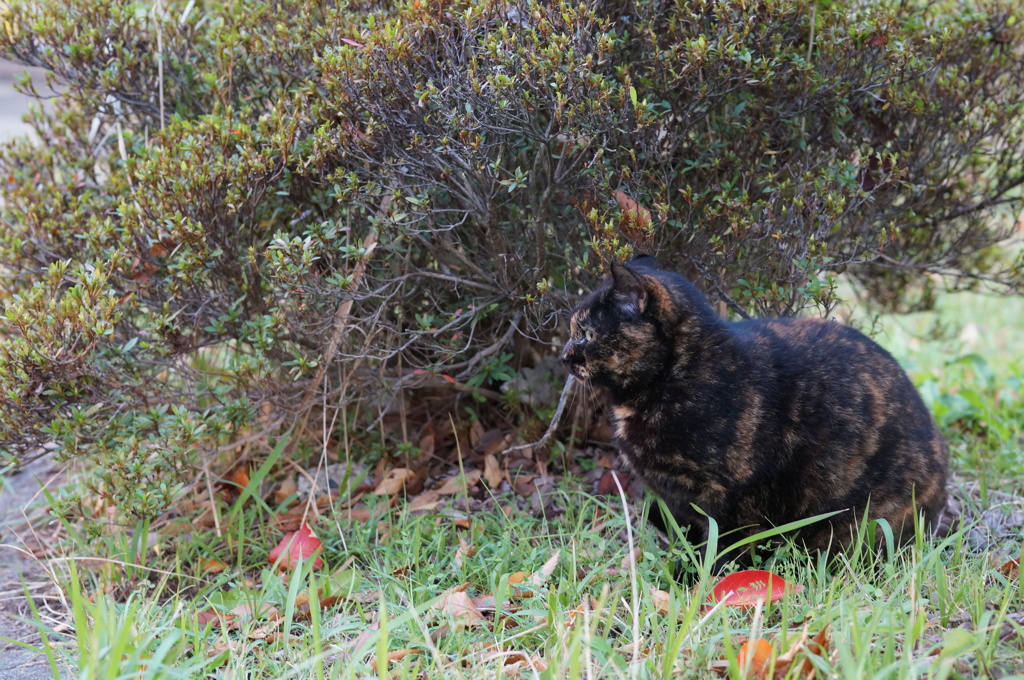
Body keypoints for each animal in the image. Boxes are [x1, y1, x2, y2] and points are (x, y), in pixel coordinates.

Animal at [565, 258, 946, 565]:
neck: (677, 375)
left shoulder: (728, 499)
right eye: (575, 331)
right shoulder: (677, 499)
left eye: (586, 334)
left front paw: (703, 584)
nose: (565, 355)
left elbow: (722, 549)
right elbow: (685, 536)